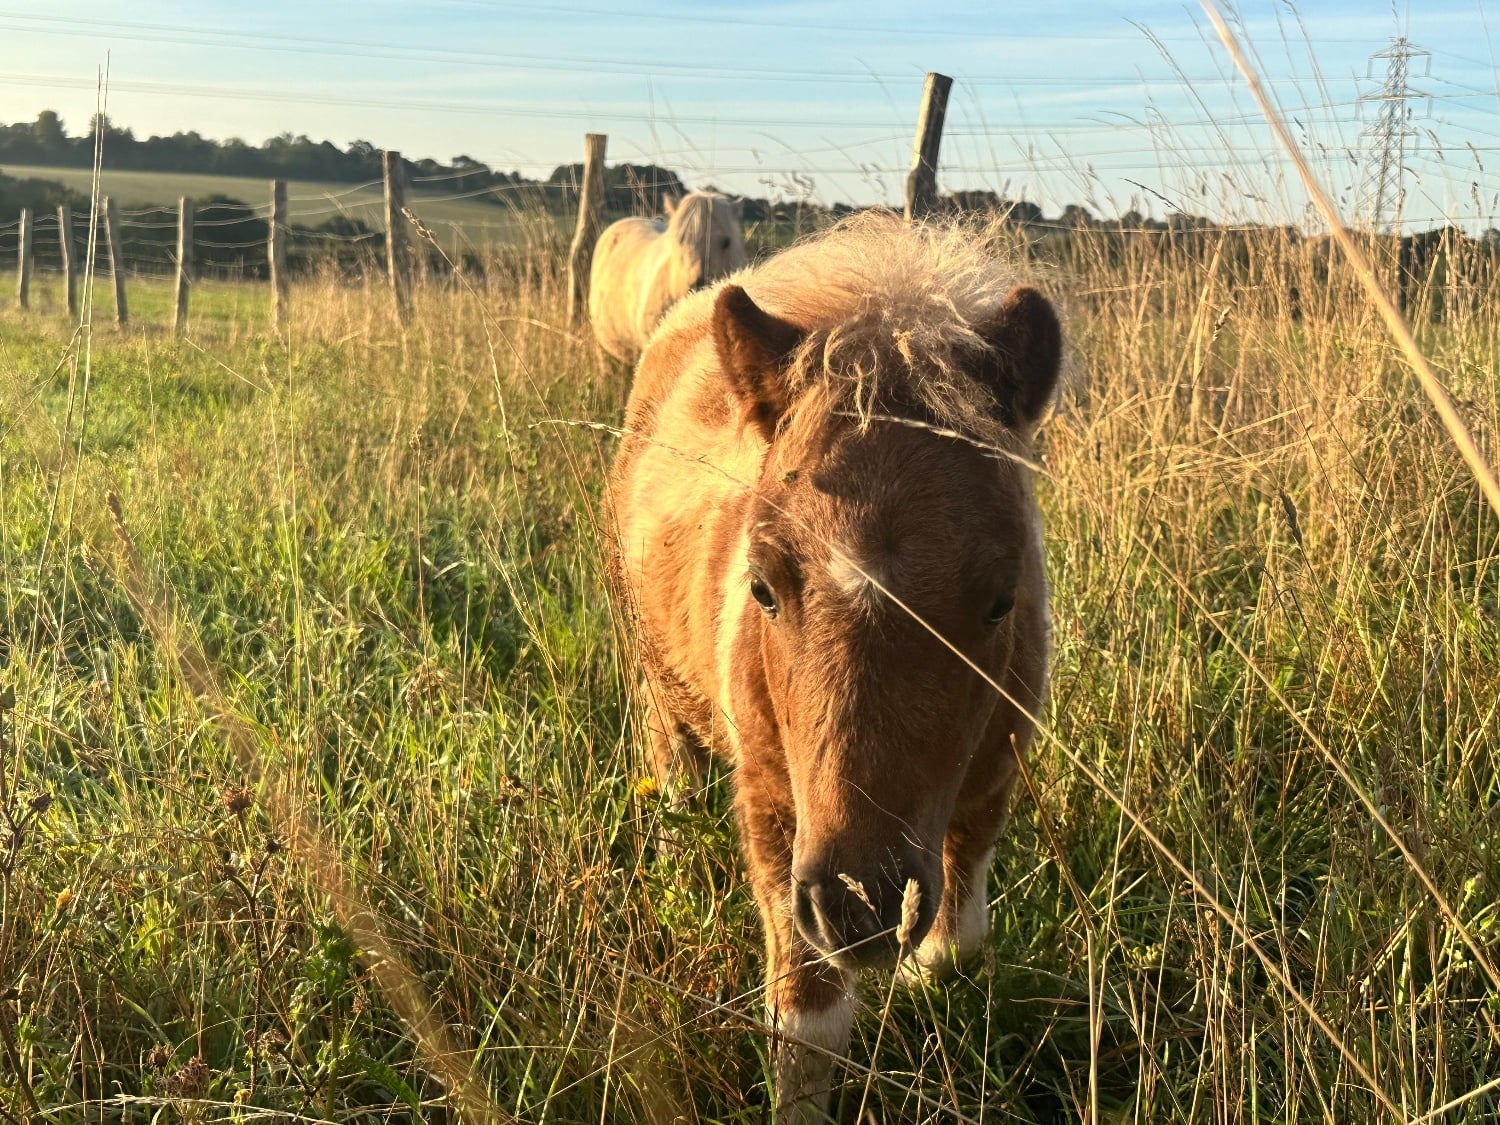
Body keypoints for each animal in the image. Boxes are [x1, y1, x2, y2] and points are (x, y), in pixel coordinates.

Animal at [607, 213, 1060, 1120]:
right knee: (671, 778)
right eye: (761, 586)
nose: (861, 903)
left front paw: (922, 983)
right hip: (657, 686)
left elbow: (956, 945)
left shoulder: (992, 781)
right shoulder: (777, 809)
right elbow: (808, 1021)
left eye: (1002, 599)